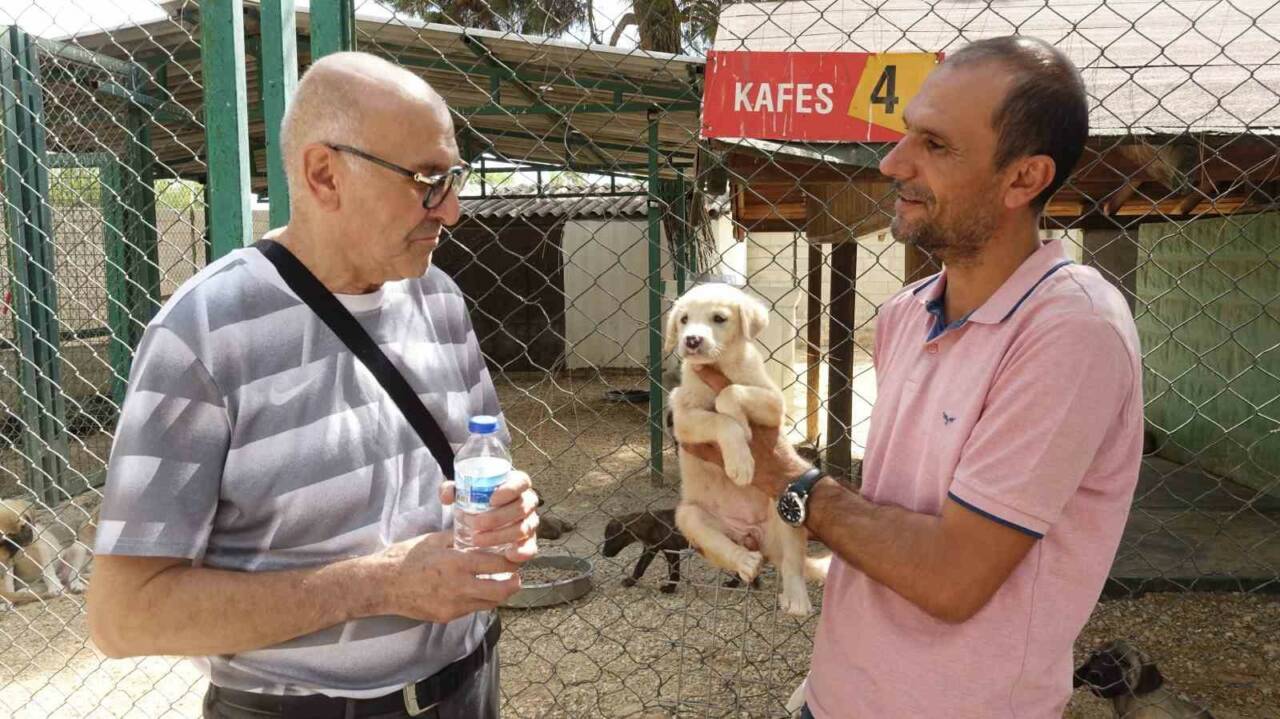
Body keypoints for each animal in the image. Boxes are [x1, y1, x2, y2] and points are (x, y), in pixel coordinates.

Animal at [660, 282, 829, 614]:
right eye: (683, 320)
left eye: (719, 318)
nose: (691, 340)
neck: (720, 364)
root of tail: (753, 536)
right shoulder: (683, 417)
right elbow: (721, 420)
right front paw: (740, 459)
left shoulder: (774, 402)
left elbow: (730, 392)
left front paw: (738, 420)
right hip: (688, 516)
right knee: (723, 545)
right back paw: (746, 561)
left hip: (783, 507)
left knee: (792, 563)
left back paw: (796, 599)